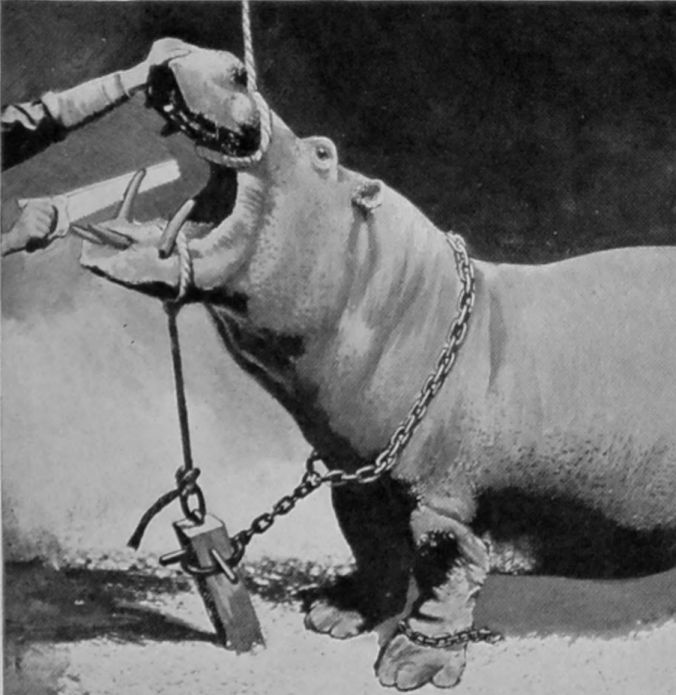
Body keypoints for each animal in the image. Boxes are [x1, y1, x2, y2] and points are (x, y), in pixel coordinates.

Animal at [79, 42, 676, 690]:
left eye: (323, 152)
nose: (189, 52)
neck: (410, 305)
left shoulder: (444, 501)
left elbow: (444, 573)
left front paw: (410, 665)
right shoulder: (355, 471)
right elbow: (370, 544)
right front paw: (335, 612)